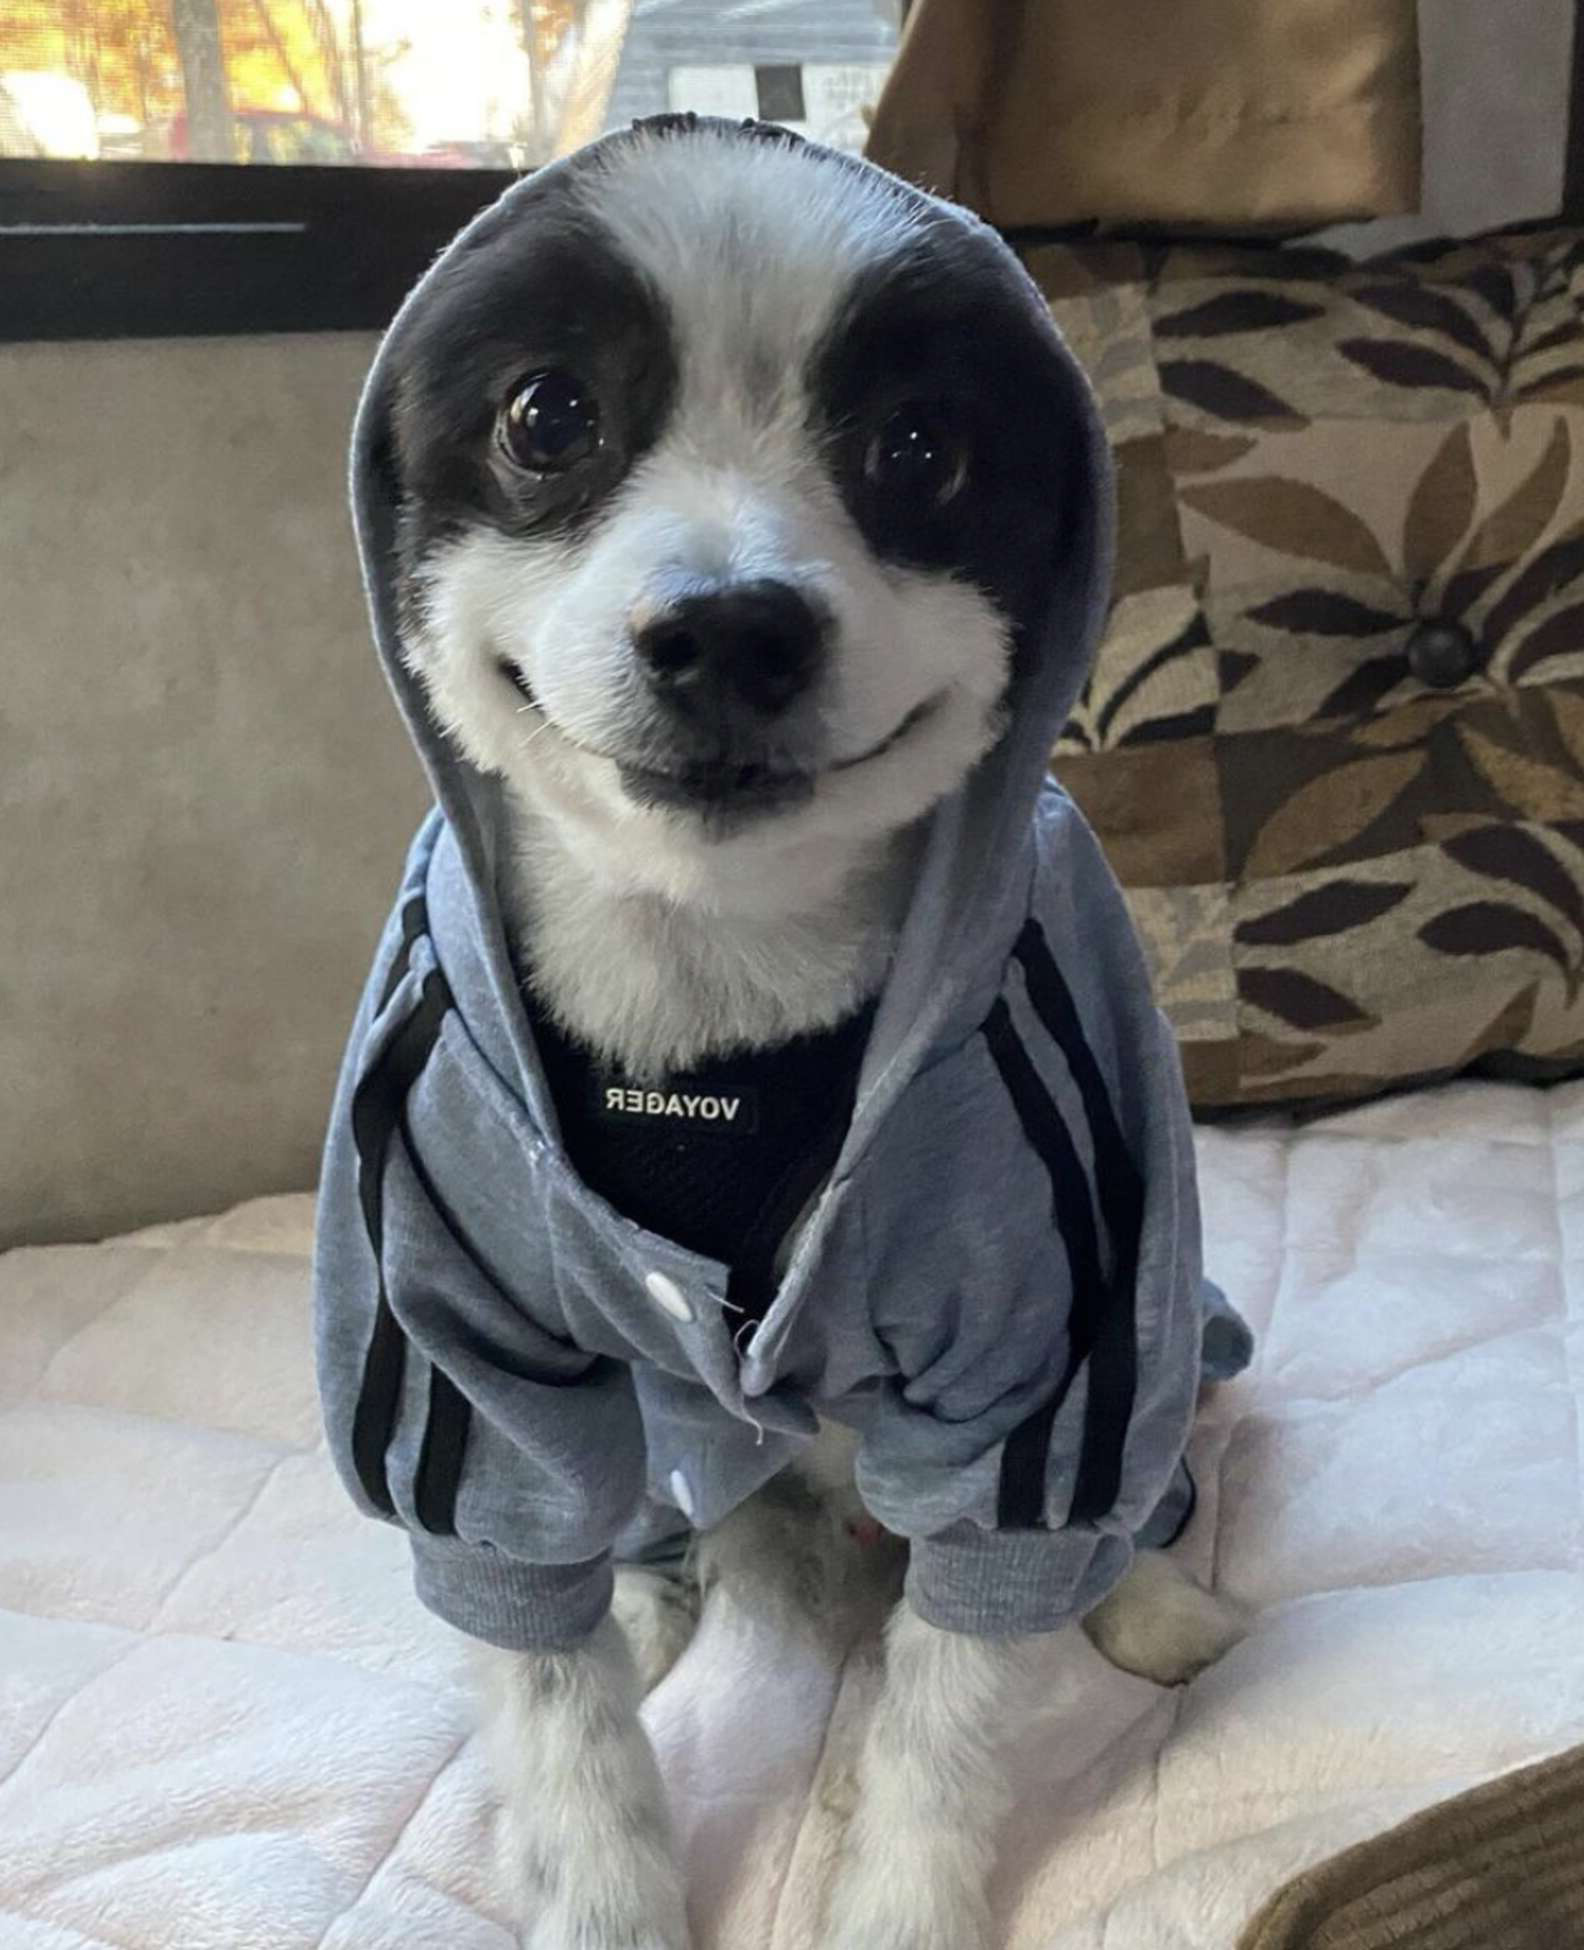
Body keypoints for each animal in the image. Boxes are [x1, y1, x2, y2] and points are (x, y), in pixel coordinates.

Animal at [317, 114, 1251, 1950]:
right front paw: (605, 1889)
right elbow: (557, 1705)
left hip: (1164, 1335)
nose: (731, 626)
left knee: (1139, 1474)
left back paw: (1148, 1595)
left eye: (920, 446)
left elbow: (950, 1703)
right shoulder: (458, 1335)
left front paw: (902, 1897)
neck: (710, 993)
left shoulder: (1032, 1359)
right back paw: (649, 1595)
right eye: (549, 414)